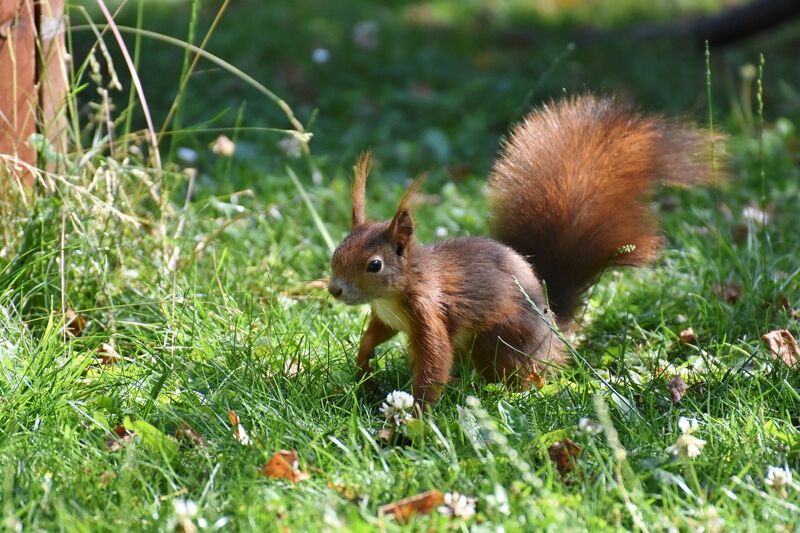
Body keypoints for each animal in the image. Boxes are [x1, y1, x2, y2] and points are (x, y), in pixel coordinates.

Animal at [328, 93, 720, 402]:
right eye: (337, 252)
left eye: (374, 265)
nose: (334, 290)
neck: (396, 291)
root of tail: (554, 325)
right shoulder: (387, 316)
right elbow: (376, 334)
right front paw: (362, 364)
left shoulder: (429, 311)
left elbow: (434, 362)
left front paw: (416, 415)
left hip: (501, 338)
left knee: (519, 372)